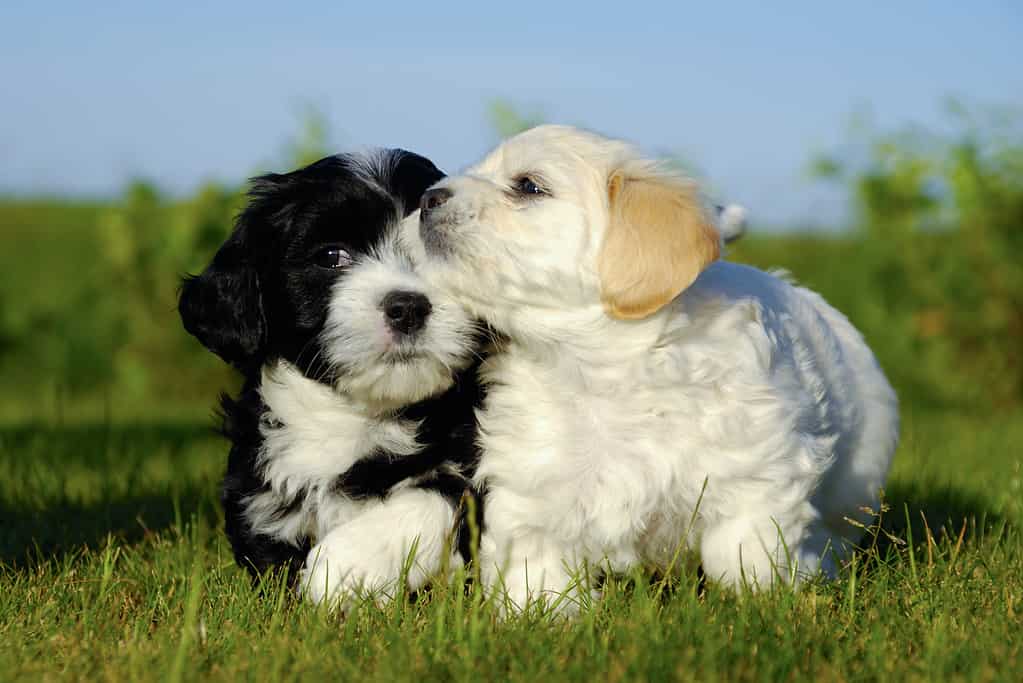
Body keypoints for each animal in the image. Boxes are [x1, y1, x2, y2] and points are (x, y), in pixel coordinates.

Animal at [179, 152, 482, 605]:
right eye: (331, 256)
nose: (408, 307)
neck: (355, 416)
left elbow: (427, 499)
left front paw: (334, 572)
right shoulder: (258, 490)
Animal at [403, 125, 900, 609]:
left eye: (528, 185)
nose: (427, 199)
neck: (600, 367)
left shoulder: (756, 472)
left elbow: (746, 547)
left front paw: (764, 604)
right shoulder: (534, 480)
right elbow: (537, 562)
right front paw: (543, 612)